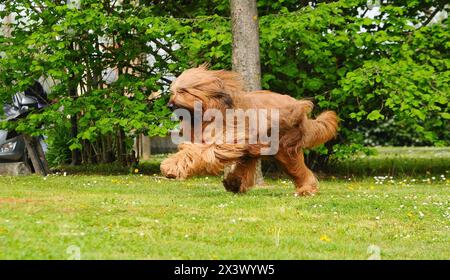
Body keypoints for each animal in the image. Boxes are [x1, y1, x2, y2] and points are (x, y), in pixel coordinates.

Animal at [162, 65, 338, 196]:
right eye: (173, 91)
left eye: (183, 91)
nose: (170, 105)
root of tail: (301, 110)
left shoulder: (228, 140)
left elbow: (194, 152)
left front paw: (170, 167)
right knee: (247, 164)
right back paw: (233, 183)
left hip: (284, 148)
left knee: (297, 168)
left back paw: (307, 190)